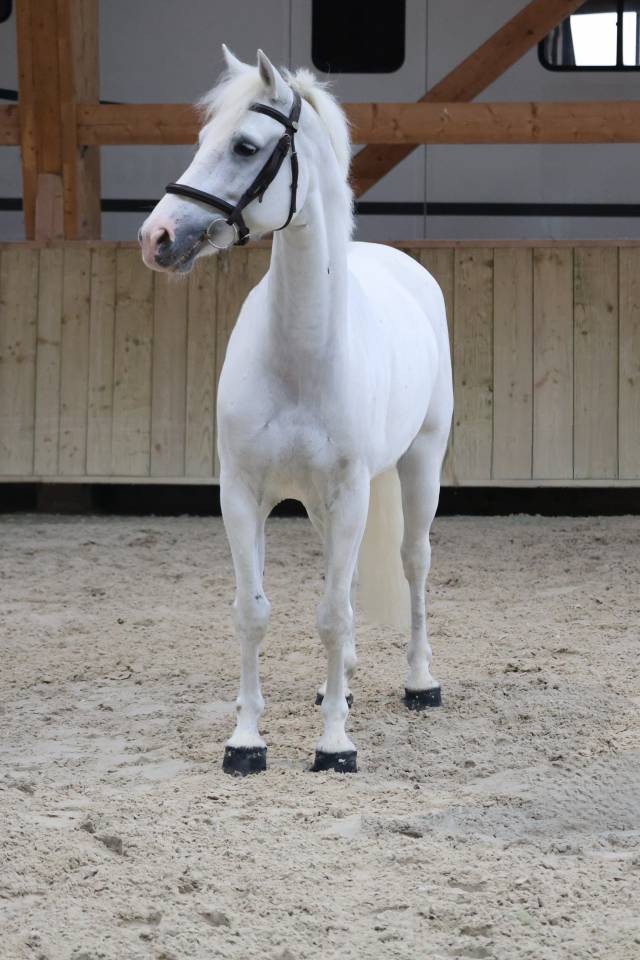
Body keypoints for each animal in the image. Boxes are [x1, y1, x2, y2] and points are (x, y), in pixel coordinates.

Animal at [139, 47, 453, 776]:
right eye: (202, 139)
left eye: (245, 146)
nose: (157, 236)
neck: (301, 354)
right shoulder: (243, 493)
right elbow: (254, 612)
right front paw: (246, 741)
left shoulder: (350, 490)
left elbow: (332, 614)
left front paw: (335, 746)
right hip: (319, 504)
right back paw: (339, 684)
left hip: (421, 463)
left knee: (413, 561)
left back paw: (419, 682)